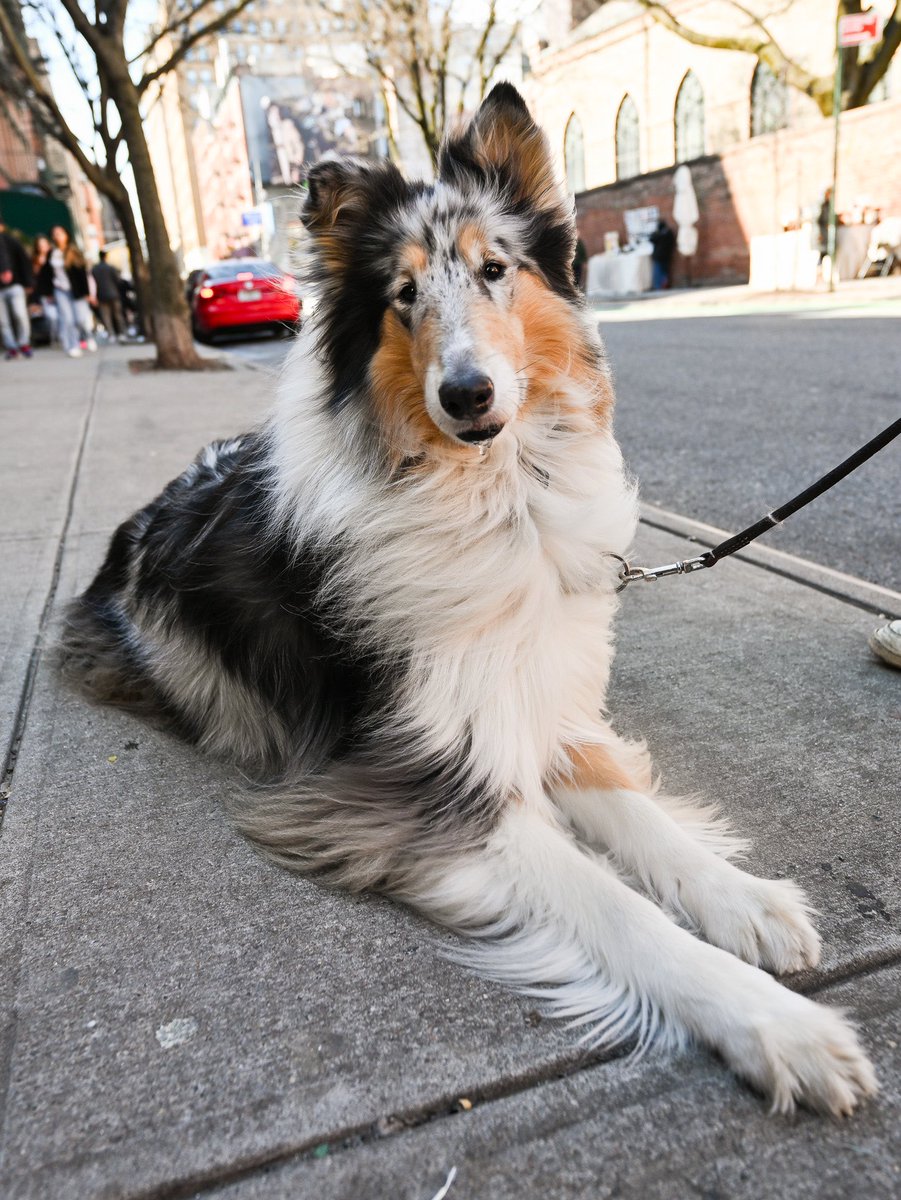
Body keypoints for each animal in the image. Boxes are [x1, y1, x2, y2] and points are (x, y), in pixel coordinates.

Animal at [61, 84, 873, 1113]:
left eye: (495, 270)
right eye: (404, 295)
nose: (468, 394)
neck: (499, 497)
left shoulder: (543, 703)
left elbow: (643, 820)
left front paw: (746, 900)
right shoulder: (420, 786)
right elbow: (620, 909)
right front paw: (779, 1026)